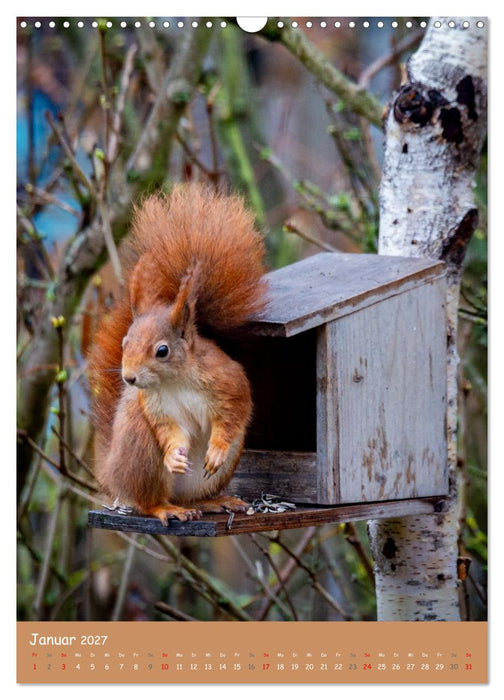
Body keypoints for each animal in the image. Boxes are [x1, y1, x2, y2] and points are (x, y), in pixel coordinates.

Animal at [87, 183, 268, 523]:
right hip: (142, 452)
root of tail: (111, 473)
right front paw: (173, 456)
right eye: (125, 343)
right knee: (148, 502)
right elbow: (171, 433)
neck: (175, 381)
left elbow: (232, 416)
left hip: (216, 471)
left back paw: (213, 502)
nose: (129, 378)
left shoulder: (228, 383)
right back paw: (166, 507)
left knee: (191, 496)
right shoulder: (157, 408)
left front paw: (217, 449)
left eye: (162, 350)